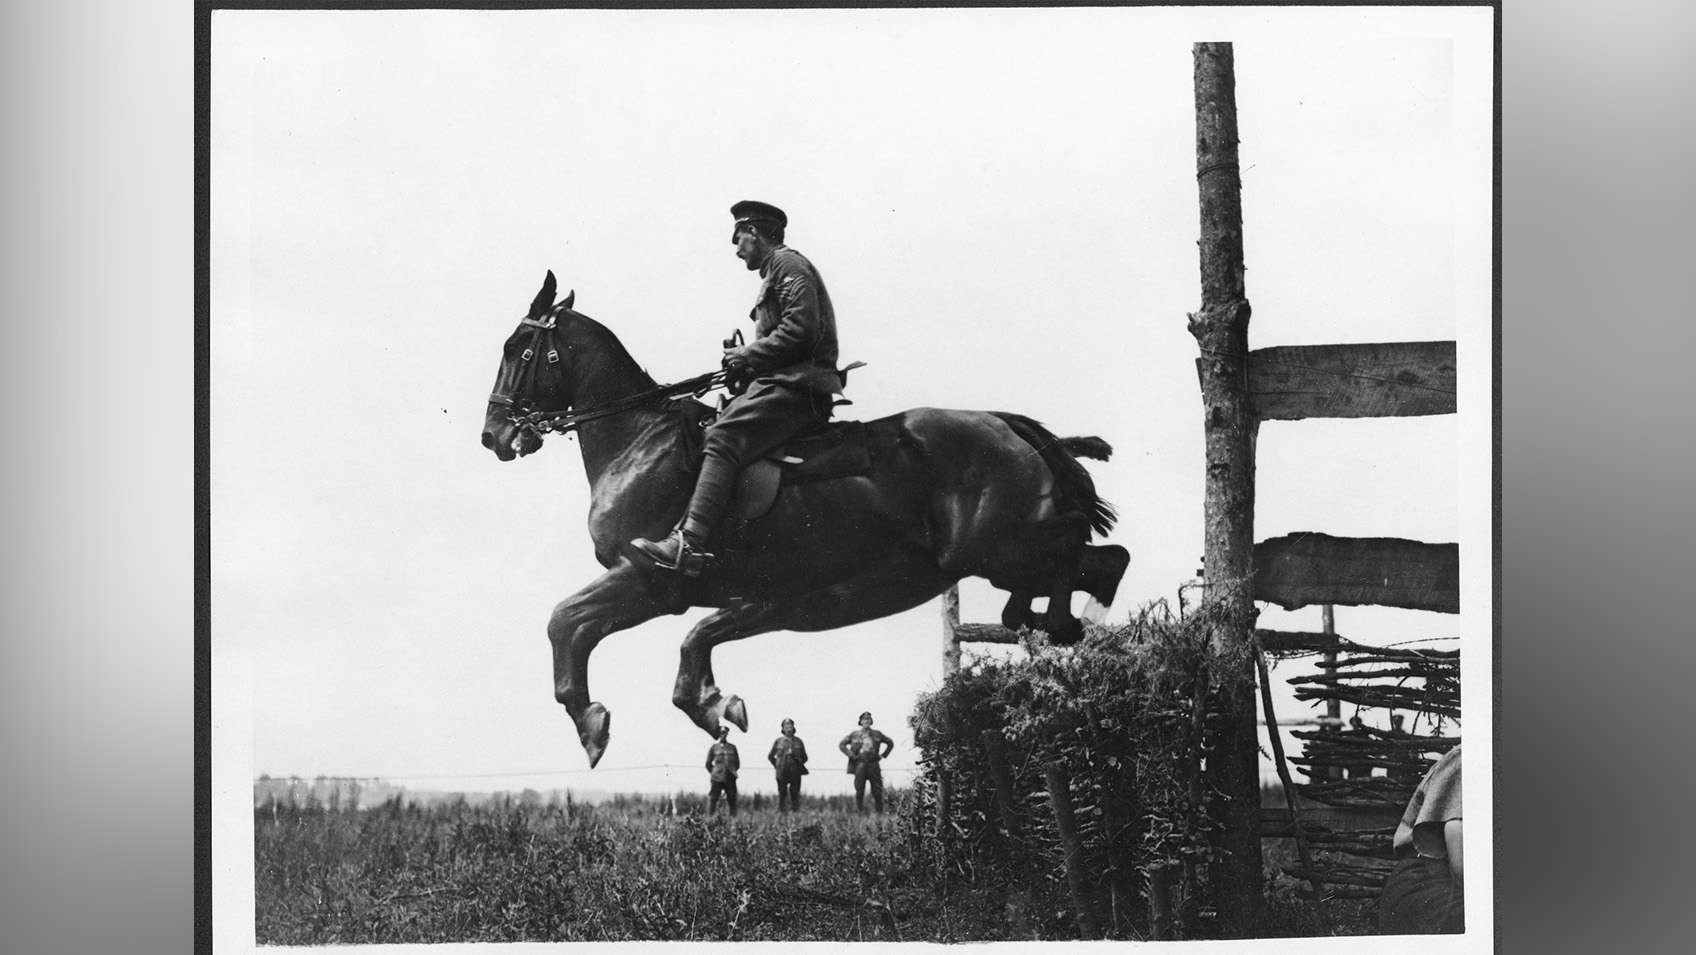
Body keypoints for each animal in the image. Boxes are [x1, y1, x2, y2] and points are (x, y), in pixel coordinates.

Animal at [481, 271, 1129, 766]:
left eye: (518, 349)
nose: (494, 435)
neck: (640, 441)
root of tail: (1006, 423)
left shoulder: (651, 580)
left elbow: (566, 623)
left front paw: (595, 721)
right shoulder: (696, 595)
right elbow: (612, 633)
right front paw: (698, 705)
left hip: (1001, 546)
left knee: (1094, 552)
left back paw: (1063, 623)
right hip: (1000, 557)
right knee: (1086, 567)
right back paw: (1046, 620)